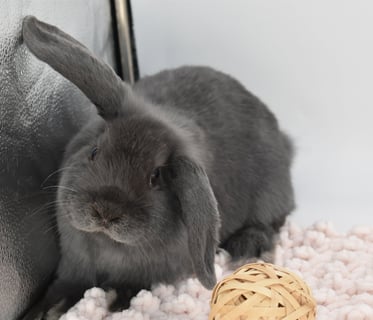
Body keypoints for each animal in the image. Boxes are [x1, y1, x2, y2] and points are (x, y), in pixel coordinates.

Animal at [21, 16, 294, 318]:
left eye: (155, 177)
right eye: (94, 152)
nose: (105, 211)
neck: (107, 244)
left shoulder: (141, 275)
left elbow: (130, 287)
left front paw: (118, 304)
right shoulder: (73, 267)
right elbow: (63, 288)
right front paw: (43, 310)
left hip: (269, 196)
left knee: (268, 222)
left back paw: (248, 248)